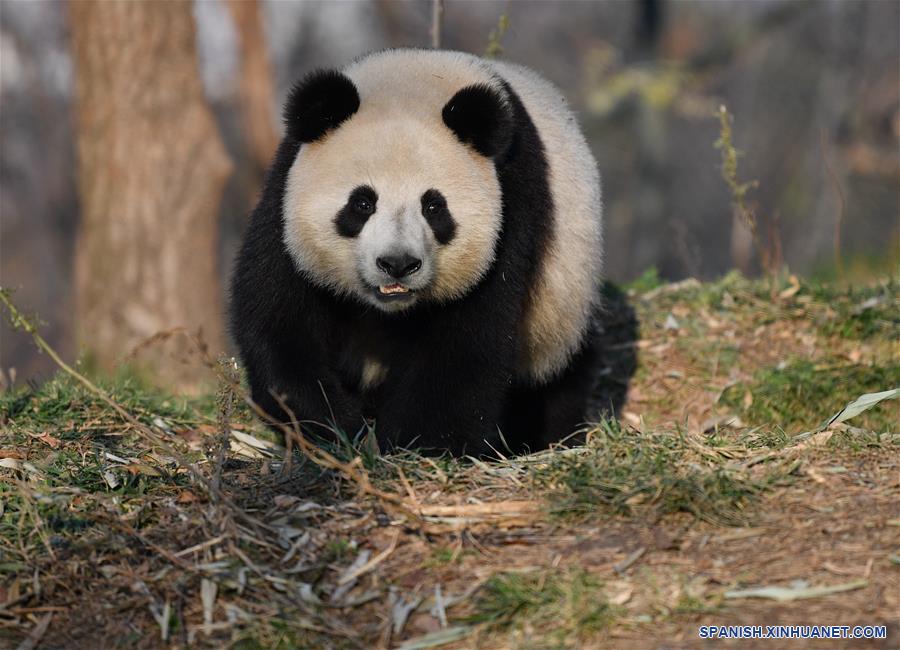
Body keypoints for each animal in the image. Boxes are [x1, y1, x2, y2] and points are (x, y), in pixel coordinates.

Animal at [230, 49, 603, 457]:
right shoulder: (284, 199)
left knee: (555, 382)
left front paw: (416, 448)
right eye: (362, 203)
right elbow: (280, 321)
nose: (398, 263)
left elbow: (465, 346)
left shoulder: (511, 209)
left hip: (562, 303)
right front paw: (338, 431)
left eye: (434, 207)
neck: (412, 82)